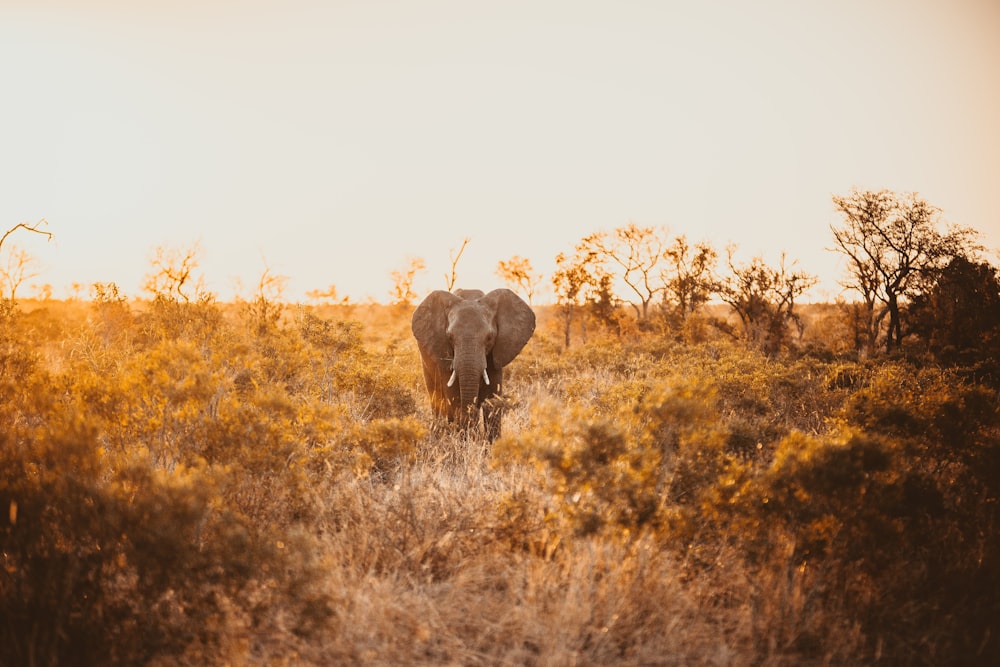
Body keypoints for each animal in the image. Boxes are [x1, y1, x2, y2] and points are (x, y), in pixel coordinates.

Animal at [410, 288, 536, 440]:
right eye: (450, 337)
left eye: (489, 337)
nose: (474, 408)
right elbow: (454, 396)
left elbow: (492, 395)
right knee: (436, 397)